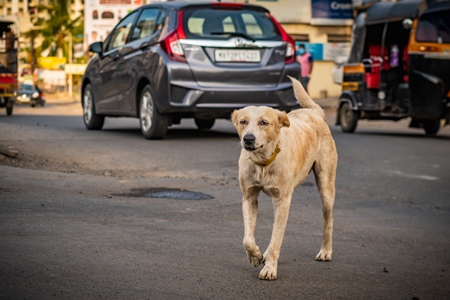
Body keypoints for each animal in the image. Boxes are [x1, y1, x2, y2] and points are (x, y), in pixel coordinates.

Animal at [232, 76, 338, 280]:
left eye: (264, 122)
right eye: (243, 121)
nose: (248, 139)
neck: (264, 162)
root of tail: (314, 112)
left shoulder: (282, 201)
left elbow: (276, 239)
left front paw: (269, 268)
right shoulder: (249, 198)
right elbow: (247, 239)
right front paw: (255, 255)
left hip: (326, 186)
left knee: (328, 219)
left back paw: (326, 251)